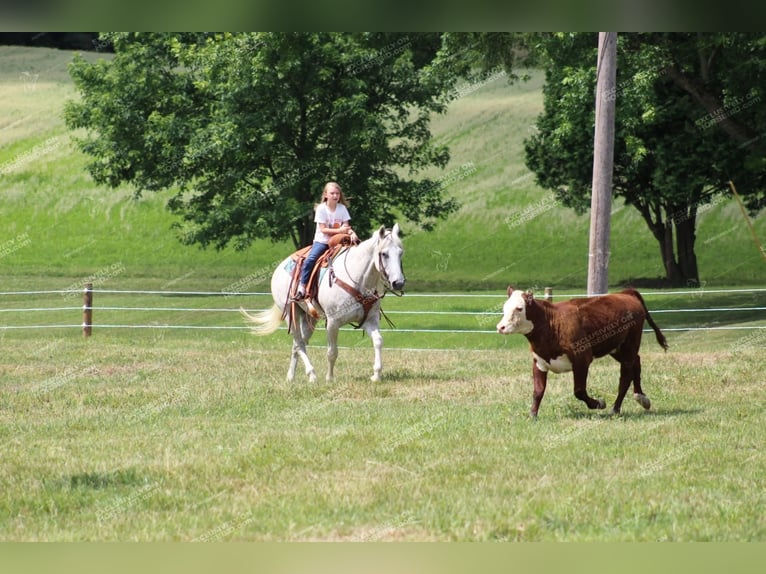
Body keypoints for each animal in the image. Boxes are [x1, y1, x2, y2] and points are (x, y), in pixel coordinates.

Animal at [243, 225, 404, 382]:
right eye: (384, 254)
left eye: (400, 253)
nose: (398, 283)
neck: (358, 281)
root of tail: (278, 268)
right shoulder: (333, 323)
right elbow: (332, 352)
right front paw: (329, 378)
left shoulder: (369, 320)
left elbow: (378, 341)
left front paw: (376, 375)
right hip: (290, 314)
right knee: (299, 344)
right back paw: (312, 375)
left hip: (309, 318)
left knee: (297, 345)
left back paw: (291, 377)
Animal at [500, 288, 668, 418]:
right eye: (504, 307)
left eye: (519, 308)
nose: (500, 327)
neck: (552, 323)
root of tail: (624, 293)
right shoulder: (539, 361)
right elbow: (538, 391)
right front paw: (533, 415)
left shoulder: (582, 359)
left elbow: (579, 391)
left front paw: (599, 403)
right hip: (616, 348)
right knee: (636, 362)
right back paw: (641, 397)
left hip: (630, 343)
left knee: (626, 375)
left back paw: (615, 408)